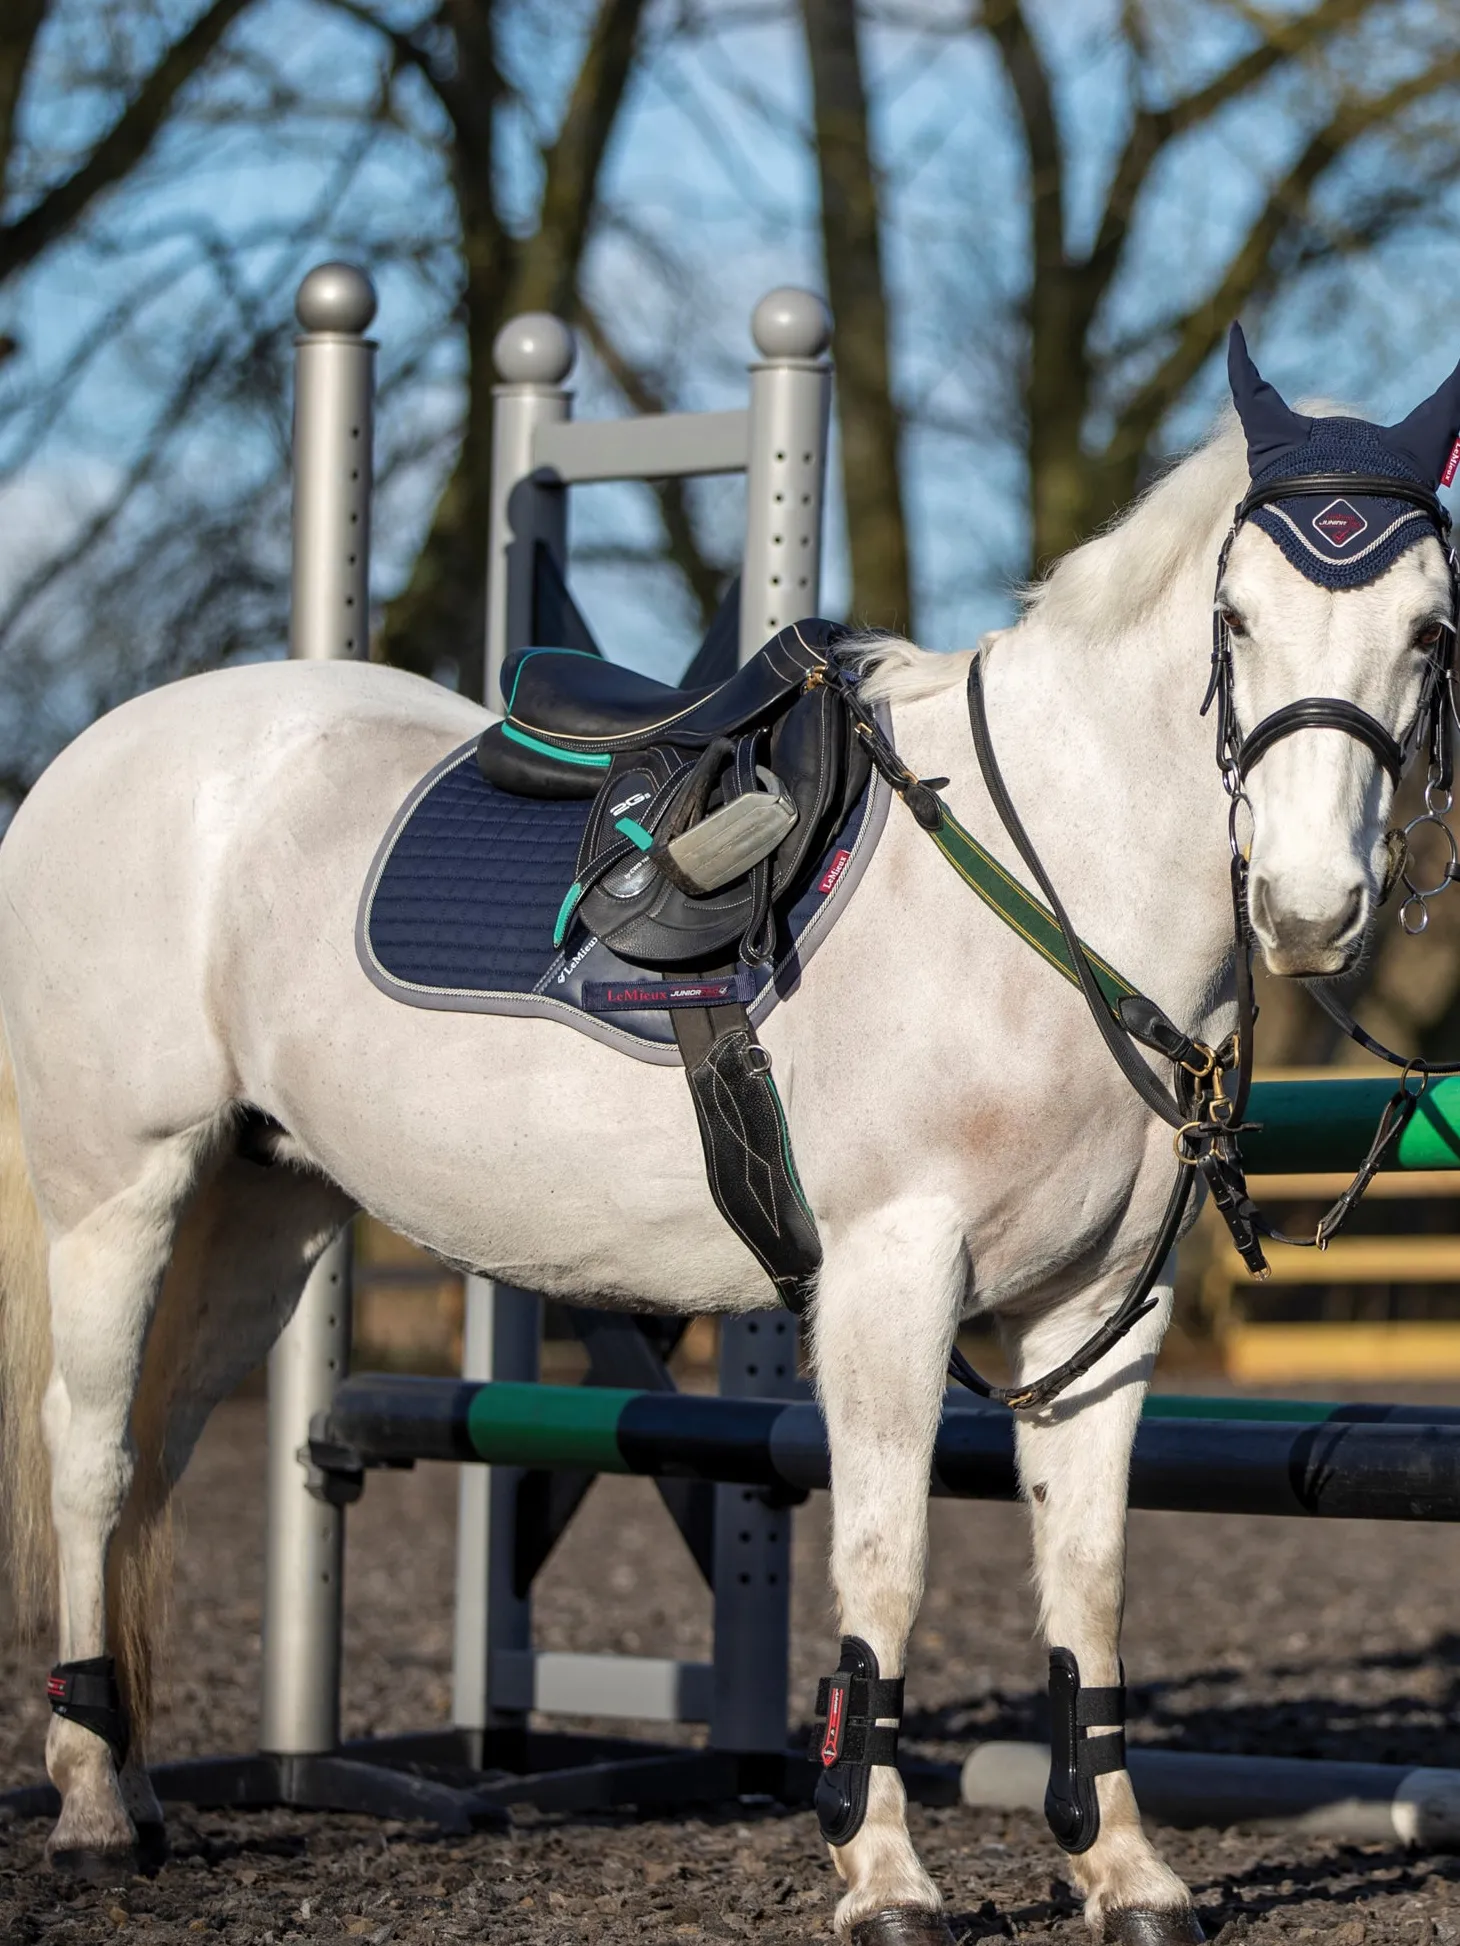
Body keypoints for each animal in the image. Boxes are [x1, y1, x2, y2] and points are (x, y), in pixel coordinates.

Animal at [0, 359, 1453, 1943]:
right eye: (1233, 616)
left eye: (1429, 628)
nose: (1311, 909)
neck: (1058, 875)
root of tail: (95, 753)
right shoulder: (890, 1274)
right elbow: (886, 1564)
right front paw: (881, 1872)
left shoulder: (1102, 1309)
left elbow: (1089, 1584)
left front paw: (1122, 1869)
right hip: (119, 1192)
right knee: (90, 1457)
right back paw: (90, 1809)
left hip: (267, 1210)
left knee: (154, 1459)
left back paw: (140, 1786)